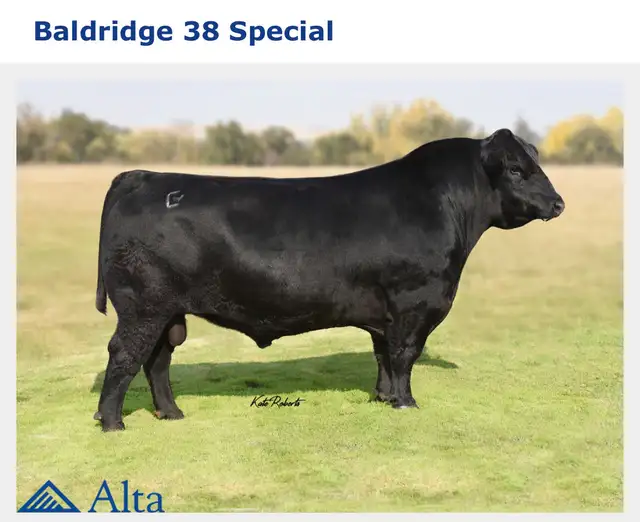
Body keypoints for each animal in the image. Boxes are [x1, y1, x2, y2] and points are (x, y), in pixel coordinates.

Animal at [93, 128, 565, 432]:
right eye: (517, 170)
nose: (558, 203)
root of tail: (142, 176)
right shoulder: (415, 303)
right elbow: (405, 356)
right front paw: (407, 403)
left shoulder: (384, 313)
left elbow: (383, 356)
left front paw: (384, 397)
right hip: (144, 306)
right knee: (125, 354)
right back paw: (112, 422)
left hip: (166, 311)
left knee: (156, 359)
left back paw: (171, 414)